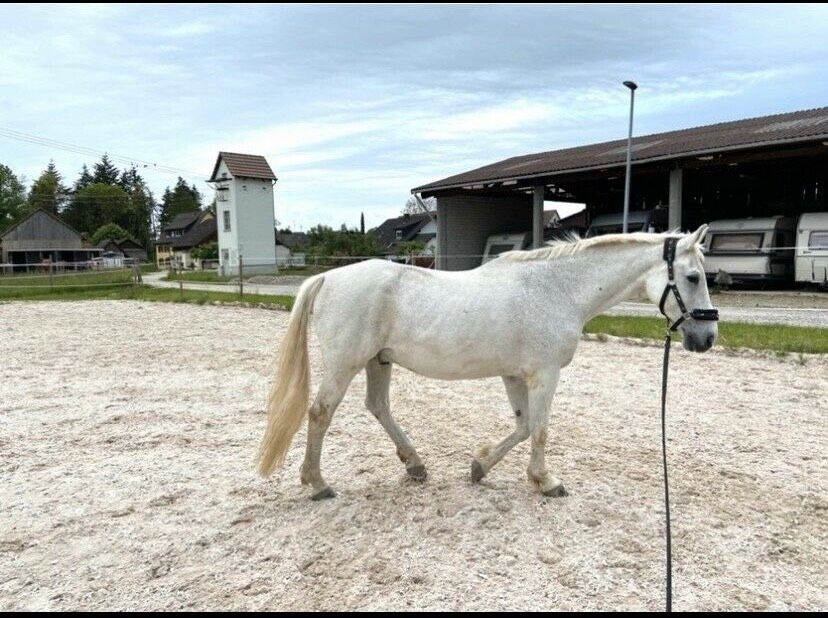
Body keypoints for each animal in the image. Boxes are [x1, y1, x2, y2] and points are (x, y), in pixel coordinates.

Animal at [258, 224, 720, 498]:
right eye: (693, 277)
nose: (707, 338)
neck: (556, 290)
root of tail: (327, 277)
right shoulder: (544, 374)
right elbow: (540, 429)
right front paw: (546, 481)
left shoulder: (515, 375)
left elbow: (523, 425)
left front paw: (480, 467)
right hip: (346, 364)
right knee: (320, 413)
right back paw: (317, 484)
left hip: (378, 361)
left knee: (379, 407)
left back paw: (416, 465)